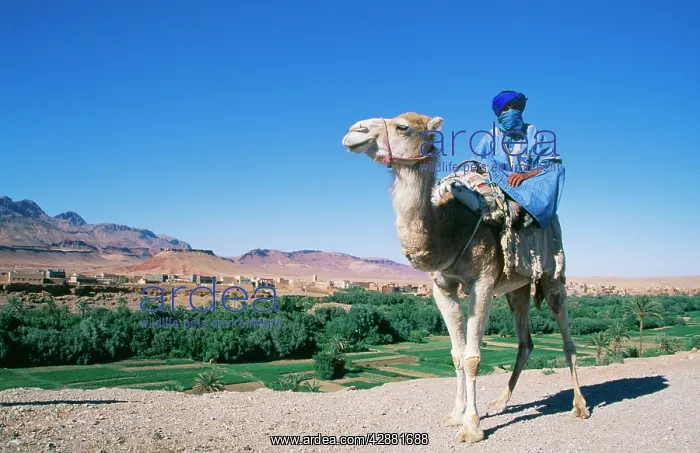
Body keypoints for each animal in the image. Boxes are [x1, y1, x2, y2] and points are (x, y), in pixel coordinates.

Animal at [341, 112, 589, 444]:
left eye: (402, 127)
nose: (355, 131)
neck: (448, 229)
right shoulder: (442, 286)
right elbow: (457, 355)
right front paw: (456, 414)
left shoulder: (481, 281)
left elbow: (472, 357)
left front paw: (471, 426)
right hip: (517, 288)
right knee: (525, 341)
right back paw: (499, 403)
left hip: (552, 274)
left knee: (566, 339)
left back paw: (580, 406)